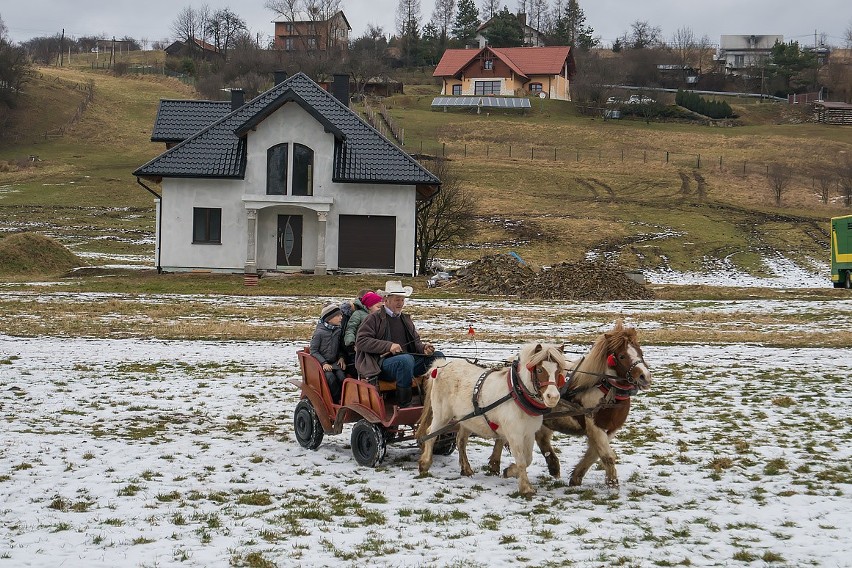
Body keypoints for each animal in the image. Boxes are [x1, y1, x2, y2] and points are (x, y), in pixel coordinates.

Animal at [486, 320, 652, 488]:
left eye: (640, 352)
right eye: (622, 356)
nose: (645, 377)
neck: (606, 389)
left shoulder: (610, 429)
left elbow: (593, 454)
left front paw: (576, 477)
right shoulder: (594, 426)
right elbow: (607, 455)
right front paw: (612, 484)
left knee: (538, 438)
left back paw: (550, 466)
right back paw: (498, 465)